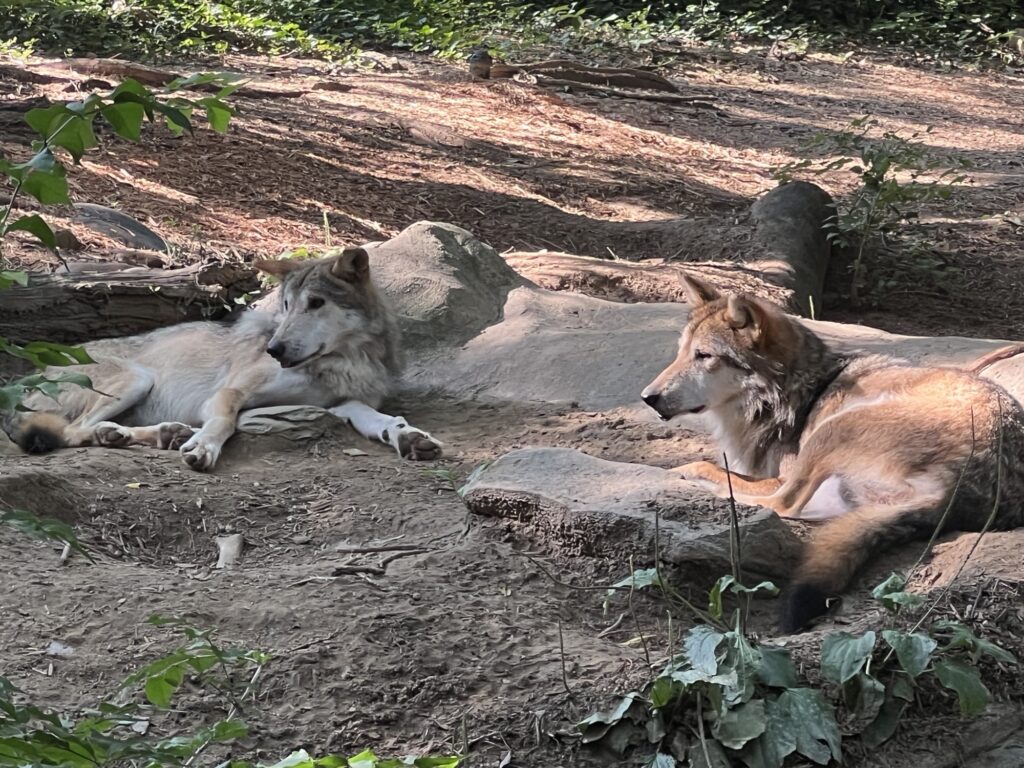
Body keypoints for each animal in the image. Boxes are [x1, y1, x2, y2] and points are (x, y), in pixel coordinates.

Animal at [10, 247, 442, 471]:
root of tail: (22, 378)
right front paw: (204, 448)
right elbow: (223, 422)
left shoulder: (344, 404)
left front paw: (408, 437)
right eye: (287, 305)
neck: (345, 361)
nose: (274, 349)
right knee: (71, 431)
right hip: (136, 379)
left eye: (316, 303)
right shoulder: (229, 393)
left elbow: (384, 420)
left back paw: (161, 434)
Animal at [641, 274, 1024, 633]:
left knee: (781, 504)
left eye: (704, 356)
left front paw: (696, 472)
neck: (796, 392)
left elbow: (739, 478)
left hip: (834, 429)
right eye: (680, 352)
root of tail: (957, 494)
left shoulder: (780, 474)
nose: (648, 397)